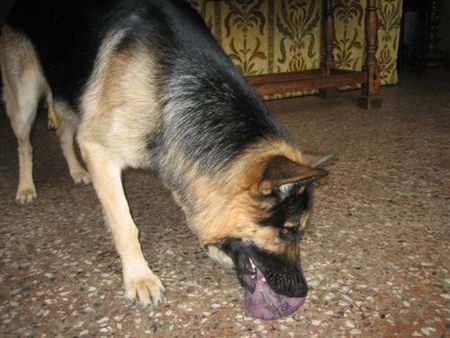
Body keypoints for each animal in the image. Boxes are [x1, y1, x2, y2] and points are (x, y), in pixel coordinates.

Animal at [1, 0, 328, 320]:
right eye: (288, 230)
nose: (301, 290)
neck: (173, 83)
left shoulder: (173, 157)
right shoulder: (99, 149)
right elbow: (125, 223)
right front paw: (138, 276)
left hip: (69, 95)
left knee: (64, 133)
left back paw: (77, 171)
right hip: (26, 102)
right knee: (24, 144)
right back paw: (26, 187)